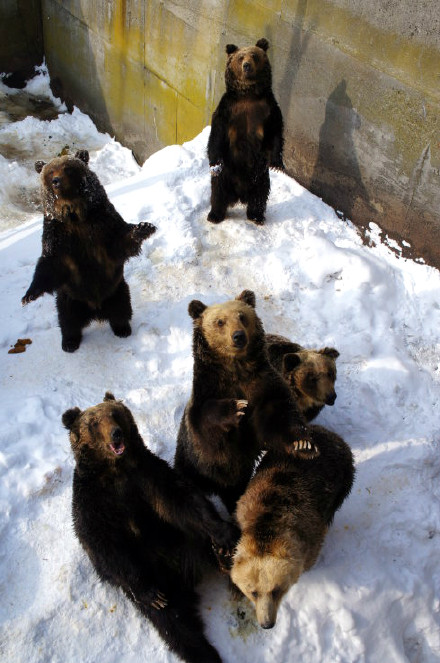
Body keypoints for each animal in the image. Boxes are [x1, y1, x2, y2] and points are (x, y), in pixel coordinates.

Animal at [22, 150, 156, 352]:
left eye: (67, 168)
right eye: (50, 171)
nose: (56, 181)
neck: (75, 214)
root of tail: (96, 310)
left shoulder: (102, 222)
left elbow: (120, 240)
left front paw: (143, 227)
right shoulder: (57, 233)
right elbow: (50, 263)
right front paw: (29, 295)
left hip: (116, 290)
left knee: (122, 309)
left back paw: (122, 329)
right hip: (70, 298)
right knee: (67, 320)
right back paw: (69, 342)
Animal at [63, 392, 238, 663]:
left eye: (115, 413)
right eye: (93, 423)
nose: (116, 434)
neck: (115, 470)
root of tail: (187, 574)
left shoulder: (148, 477)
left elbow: (183, 501)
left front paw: (223, 533)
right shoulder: (92, 502)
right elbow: (105, 545)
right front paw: (149, 593)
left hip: (189, 542)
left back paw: (225, 555)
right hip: (162, 582)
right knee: (176, 625)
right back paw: (205, 653)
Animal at [174, 290, 316, 514]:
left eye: (242, 316)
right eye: (220, 321)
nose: (238, 336)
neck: (236, 369)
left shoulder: (264, 386)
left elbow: (279, 416)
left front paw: (303, 443)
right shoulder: (206, 394)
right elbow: (206, 423)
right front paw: (237, 407)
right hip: (191, 467)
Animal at [207, 38, 284, 225]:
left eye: (254, 55)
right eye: (240, 57)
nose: (247, 66)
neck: (248, 95)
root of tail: (239, 195)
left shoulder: (268, 109)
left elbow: (276, 131)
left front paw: (277, 163)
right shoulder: (227, 109)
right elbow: (216, 135)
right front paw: (214, 164)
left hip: (260, 176)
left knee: (260, 195)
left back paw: (256, 216)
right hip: (227, 173)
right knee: (217, 192)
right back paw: (215, 215)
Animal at [230, 424, 355, 629]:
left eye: (276, 590)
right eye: (253, 592)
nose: (267, 623)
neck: (267, 525)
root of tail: (330, 432)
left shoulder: (311, 533)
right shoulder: (244, 508)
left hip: (342, 478)